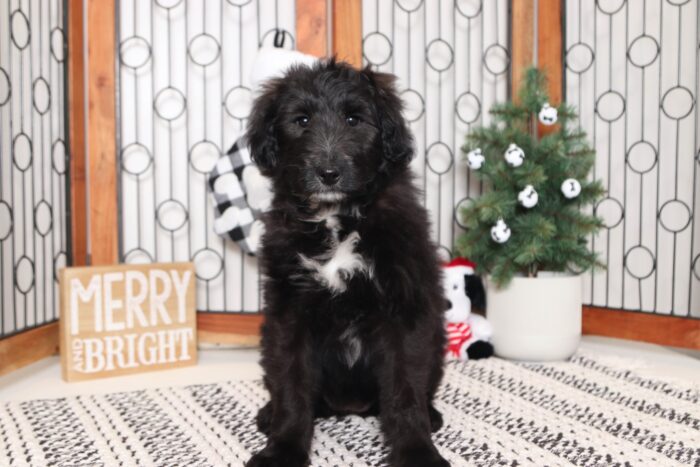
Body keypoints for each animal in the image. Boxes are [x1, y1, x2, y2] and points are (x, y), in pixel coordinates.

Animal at [243, 60, 446, 467]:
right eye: (301, 120)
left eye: (354, 119)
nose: (328, 173)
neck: (336, 220)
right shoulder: (289, 312)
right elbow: (292, 386)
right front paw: (282, 450)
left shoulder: (405, 309)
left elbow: (405, 391)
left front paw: (417, 453)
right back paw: (269, 414)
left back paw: (431, 416)